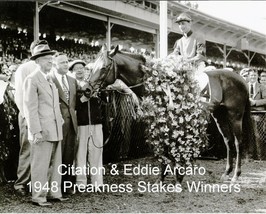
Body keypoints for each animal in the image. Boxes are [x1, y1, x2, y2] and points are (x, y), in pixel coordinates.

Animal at [89, 44, 251, 183]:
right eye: (91, 67)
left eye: (104, 67)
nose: (87, 89)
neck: (156, 82)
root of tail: (241, 79)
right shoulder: (158, 121)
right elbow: (162, 148)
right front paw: (162, 178)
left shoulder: (176, 121)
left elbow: (174, 146)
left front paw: (178, 176)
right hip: (220, 116)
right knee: (228, 141)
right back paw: (227, 172)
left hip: (235, 116)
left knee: (238, 142)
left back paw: (236, 175)